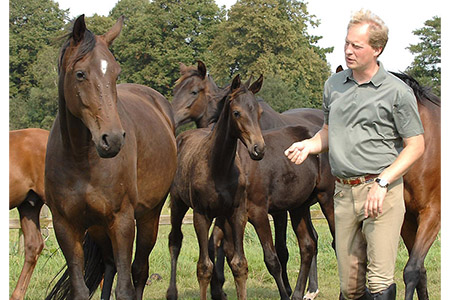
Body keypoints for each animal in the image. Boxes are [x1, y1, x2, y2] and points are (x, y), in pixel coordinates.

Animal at [44, 15, 178, 298]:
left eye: (116, 73)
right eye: (80, 74)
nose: (113, 139)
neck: (81, 160)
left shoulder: (122, 220)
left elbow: (125, 287)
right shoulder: (65, 225)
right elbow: (81, 288)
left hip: (149, 217)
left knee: (139, 270)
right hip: (97, 226)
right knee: (109, 265)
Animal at [166, 74, 266, 300]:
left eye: (259, 112)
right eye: (237, 112)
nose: (258, 149)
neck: (219, 167)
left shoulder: (237, 213)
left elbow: (239, 264)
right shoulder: (201, 214)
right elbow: (204, 267)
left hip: (221, 215)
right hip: (177, 203)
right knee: (175, 241)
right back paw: (172, 292)